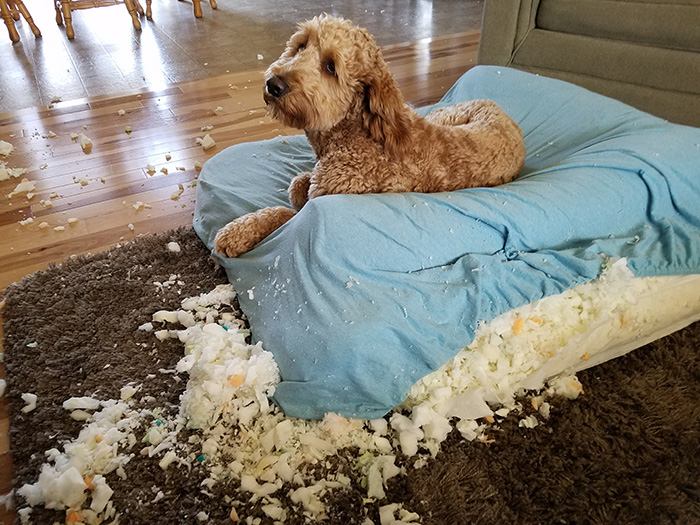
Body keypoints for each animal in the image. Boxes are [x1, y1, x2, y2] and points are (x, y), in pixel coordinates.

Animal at [213, 13, 524, 256]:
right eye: (301, 45)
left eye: (330, 67)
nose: (274, 84)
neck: (355, 133)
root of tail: (508, 118)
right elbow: (298, 184)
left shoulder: (328, 196)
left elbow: (282, 213)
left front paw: (237, 232)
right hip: (444, 114)